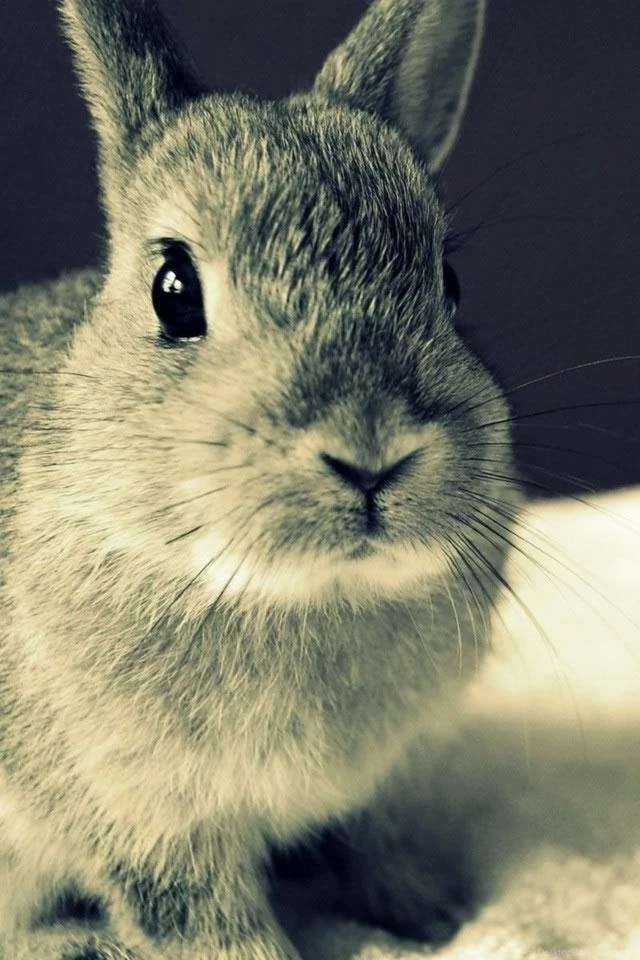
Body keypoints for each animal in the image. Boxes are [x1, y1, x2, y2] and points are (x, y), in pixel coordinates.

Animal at [0, 0, 522, 958]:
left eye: (449, 282)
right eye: (172, 289)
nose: (369, 450)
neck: (306, 592)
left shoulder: (379, 789)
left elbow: (376, 849)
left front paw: (435, 920)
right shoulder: (151, 821)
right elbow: (211, 924)